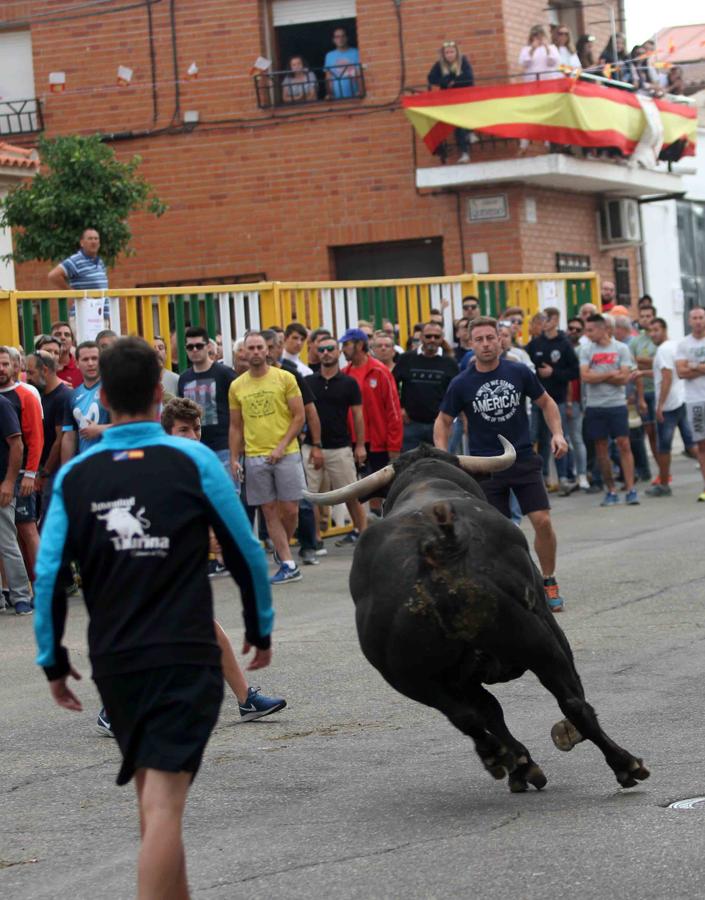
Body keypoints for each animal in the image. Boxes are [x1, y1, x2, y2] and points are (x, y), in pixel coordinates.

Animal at [304, 440, 648, 792]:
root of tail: (437, 552)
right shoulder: (547, 623)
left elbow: (489, 712)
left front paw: (521, 763)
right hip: (534, 638)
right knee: (569, 701)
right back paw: (621, 764)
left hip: (410, 678)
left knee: (468, 717)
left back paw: (502, 757)